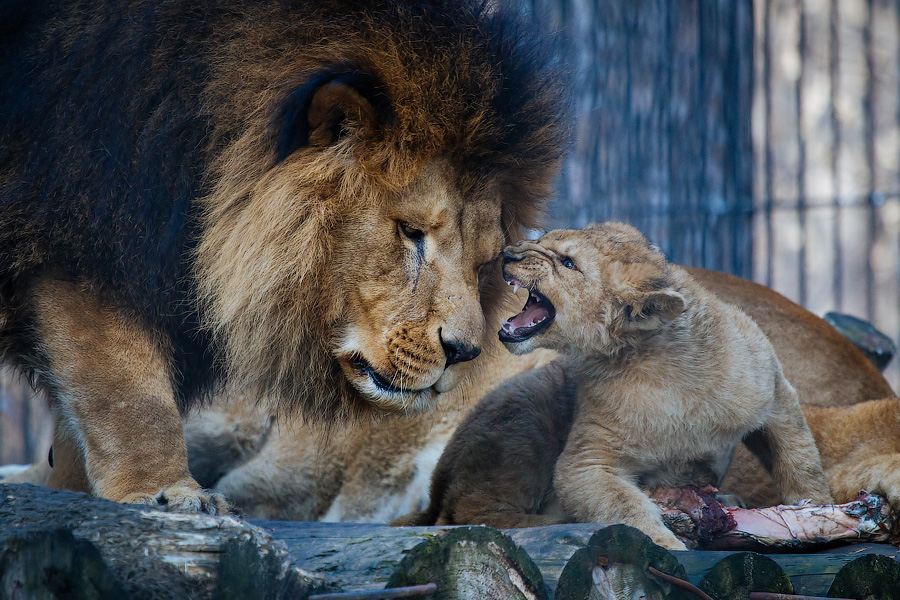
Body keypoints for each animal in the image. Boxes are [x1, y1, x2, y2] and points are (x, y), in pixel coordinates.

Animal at [0, 1, 564, 510]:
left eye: (485, 263)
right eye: (411, 233)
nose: (465, 353)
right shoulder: (86, 232)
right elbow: (127, 389)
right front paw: (166, 493)